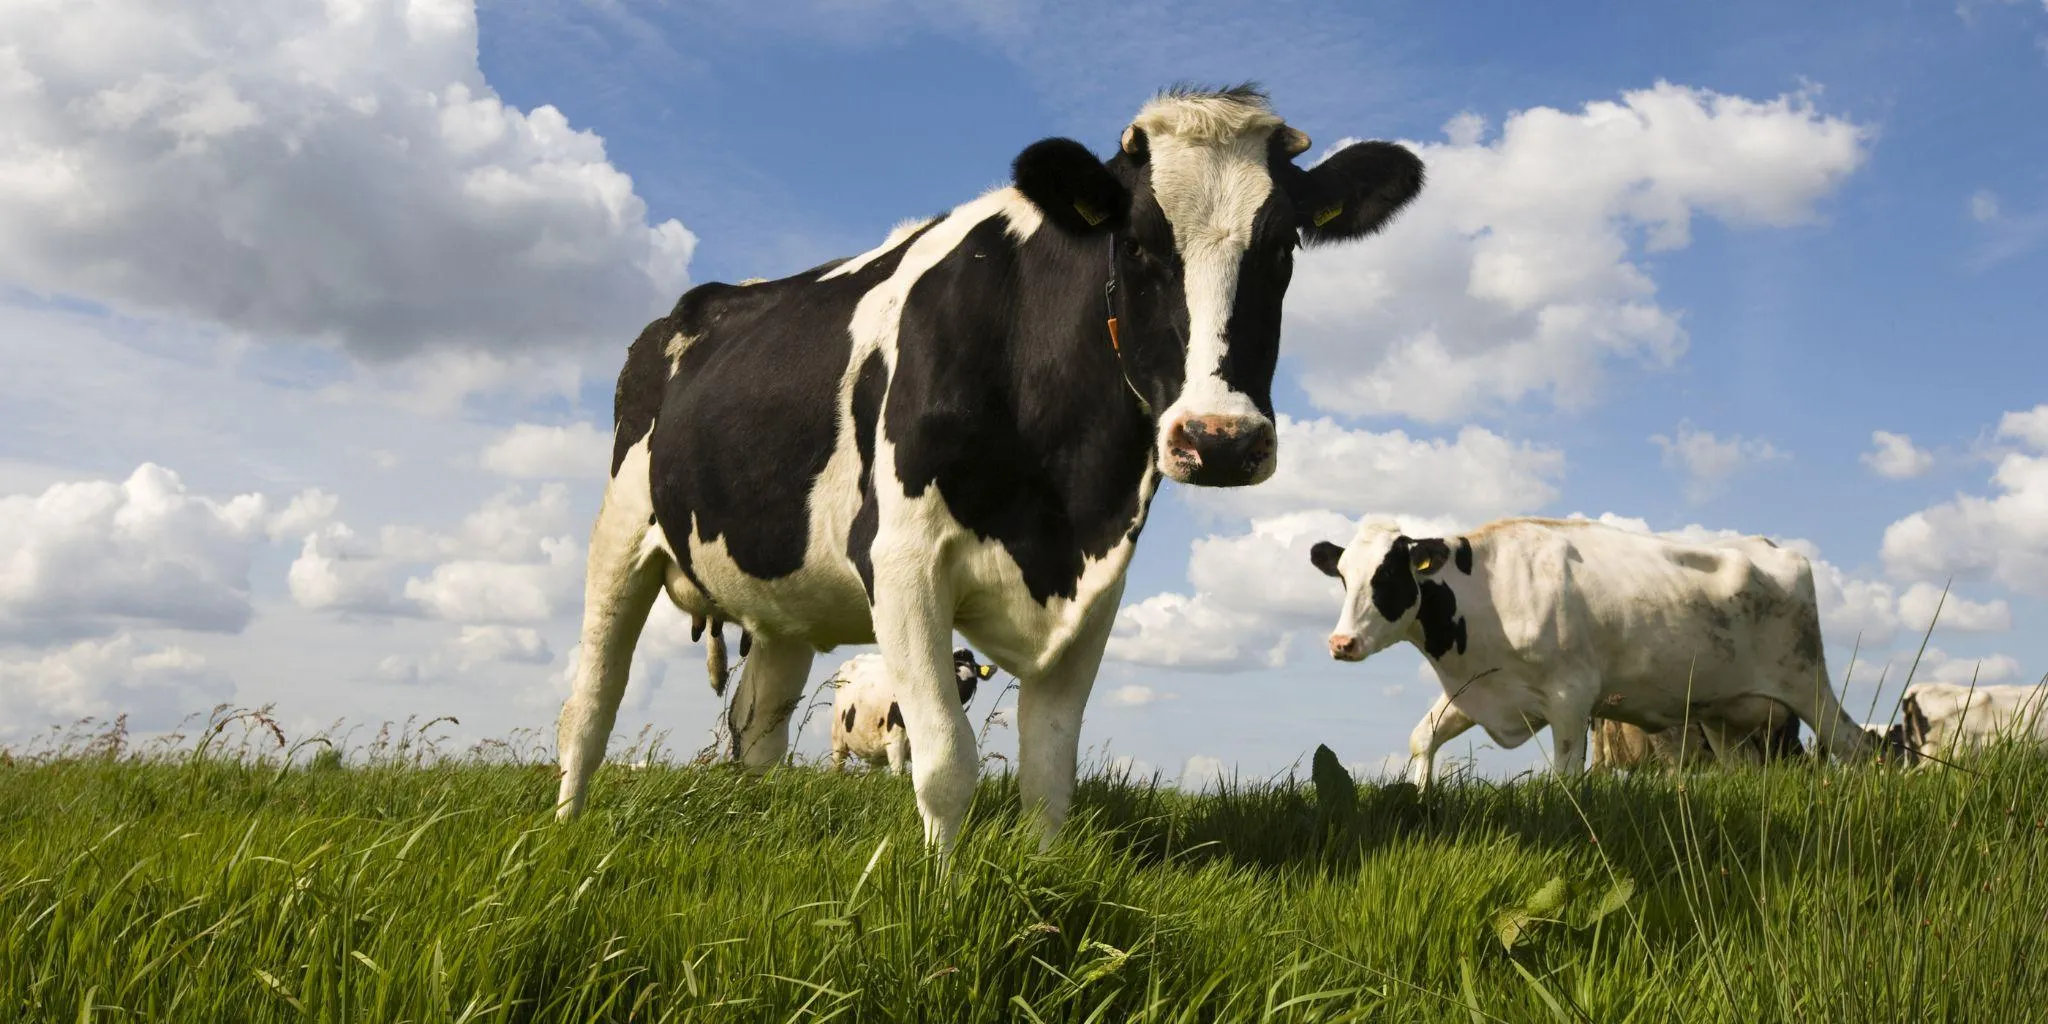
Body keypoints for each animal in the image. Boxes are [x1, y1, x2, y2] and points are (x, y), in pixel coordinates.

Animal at [1311, 516, 1877, 789]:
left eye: (1388, 576)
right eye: (1342, 577)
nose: (1341, 643)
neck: (1486, 592)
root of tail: (1773, 547)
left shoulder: (1571, 695)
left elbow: (1564, 775)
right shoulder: (1479, 688)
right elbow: (1422, 737)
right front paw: (1421, 794)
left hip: (1807, 682)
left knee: (1854, 745)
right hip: (1723, 714)